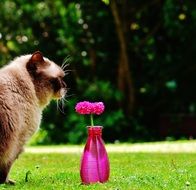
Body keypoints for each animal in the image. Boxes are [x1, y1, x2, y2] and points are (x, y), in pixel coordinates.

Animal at [0, 50, 67, 184]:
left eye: (63, 78)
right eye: (59, 79)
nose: (66, 86)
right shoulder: (18, 142)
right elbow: (6, 167)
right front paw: (7, 182)